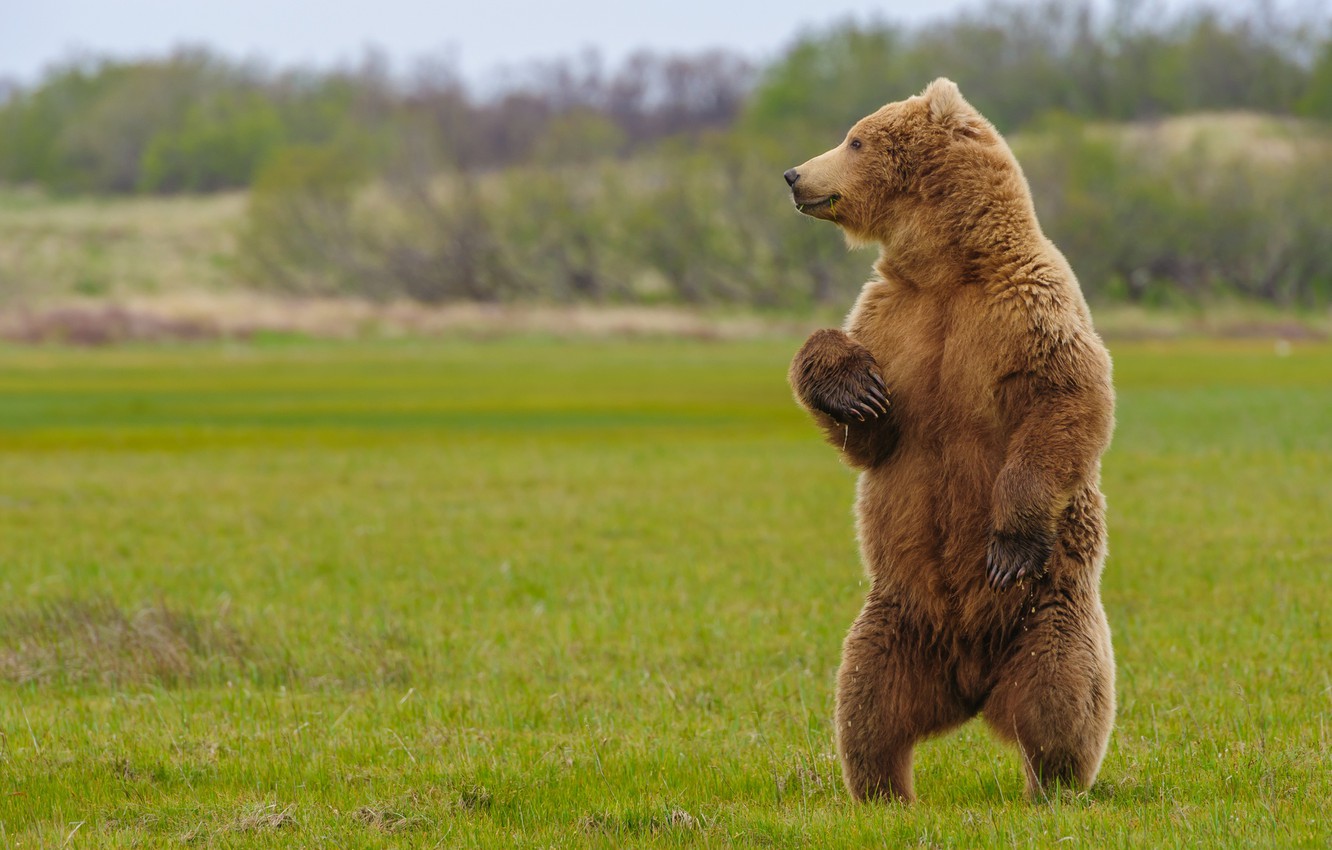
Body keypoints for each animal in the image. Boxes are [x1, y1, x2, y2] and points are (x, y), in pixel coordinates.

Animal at [783, 78, 1116, 803]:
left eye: (855, 139)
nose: (793, 174)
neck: (948, 269)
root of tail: (971, 686)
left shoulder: (1028, 307)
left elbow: (1066, 401)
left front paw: (1009, 543)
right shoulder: (894, 318)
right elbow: (872, 435)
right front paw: (851, 387)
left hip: (1047, 613)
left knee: (1061, 696)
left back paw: (1053, 786)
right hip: (895, 620)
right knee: (866, 705)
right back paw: (882, 791)